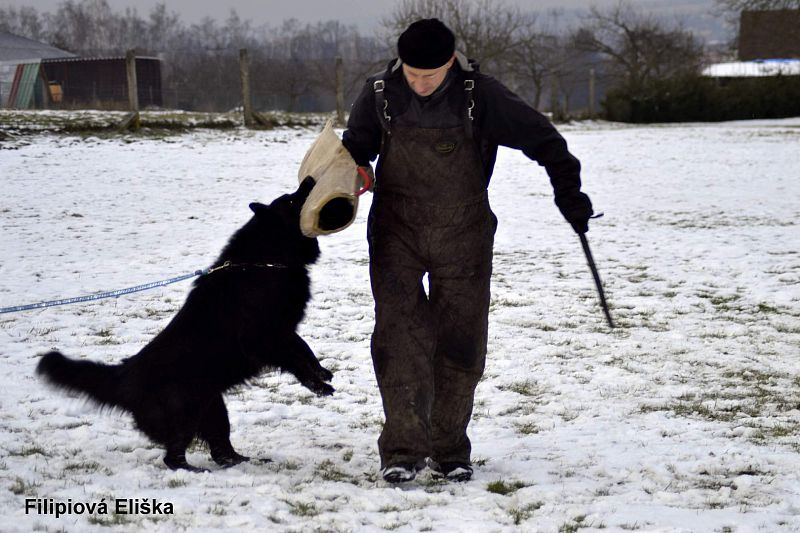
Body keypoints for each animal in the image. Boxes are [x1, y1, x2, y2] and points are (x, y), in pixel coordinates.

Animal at [35, 178, 332, 470]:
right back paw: (196, 471)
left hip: (213, 408)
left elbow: (303, 348)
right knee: (174, 456)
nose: (310, 179)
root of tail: (125, 375)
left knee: (220, 448)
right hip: (186, 409)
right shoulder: (261, 337)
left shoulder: (282, 330)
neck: (264, 261)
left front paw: (321, 372)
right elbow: (294, 360)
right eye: (291, 200)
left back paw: (243, 462)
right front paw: (318, 386)